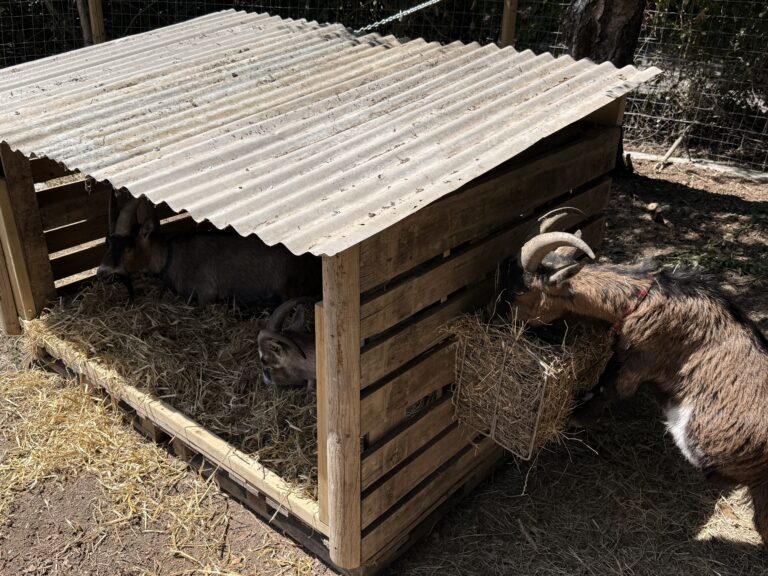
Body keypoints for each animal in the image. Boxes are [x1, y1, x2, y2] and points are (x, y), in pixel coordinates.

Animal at [507, 207, 768, 546]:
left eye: (522, 290)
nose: (503, 319)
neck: (644, 297)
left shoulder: (637, 362)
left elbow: (602, 393)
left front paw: (570, 418)